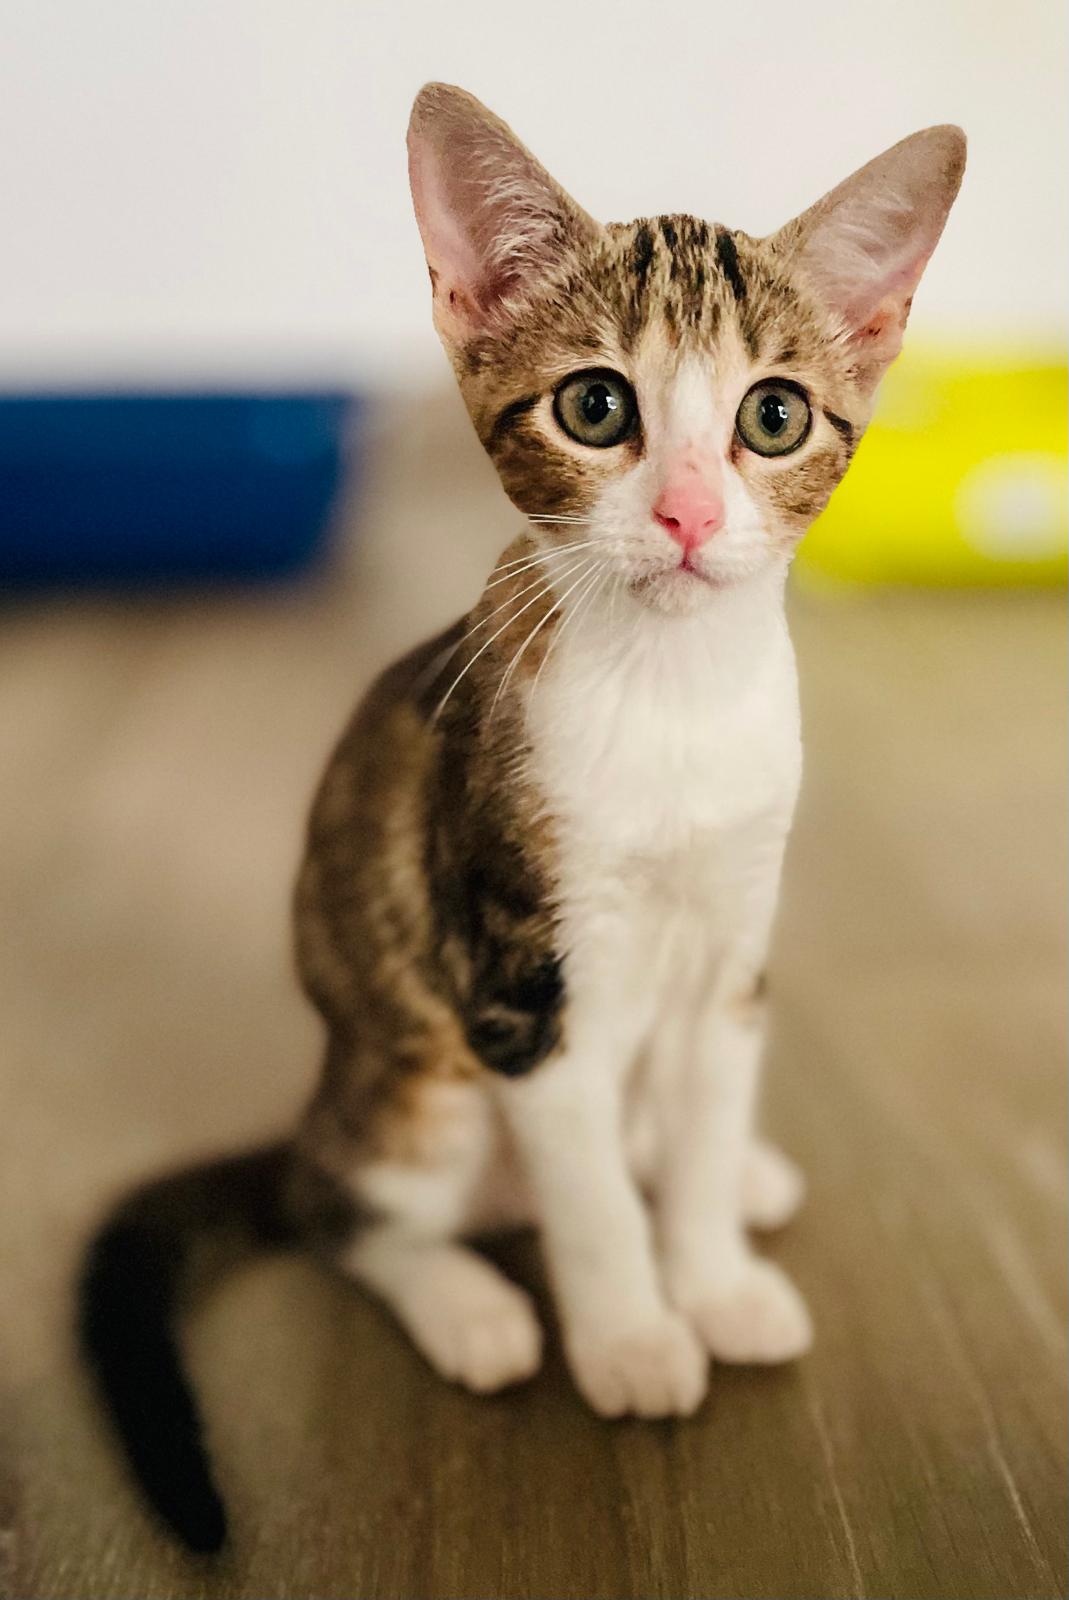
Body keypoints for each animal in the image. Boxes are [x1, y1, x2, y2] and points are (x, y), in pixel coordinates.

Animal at [79, 84, 966, 1548]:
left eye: (774, 418)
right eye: (596, 406)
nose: (686, 513)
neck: (671, 698)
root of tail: (321, 1100)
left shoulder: (733, 941)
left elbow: (704, 1111)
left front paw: (713, 1277)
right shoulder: (519, 977)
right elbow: (590, 1196)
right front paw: (636, 1339)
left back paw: (732, 1181)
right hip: (419, 1086)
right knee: (339, 1209)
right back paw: (472, 1307)